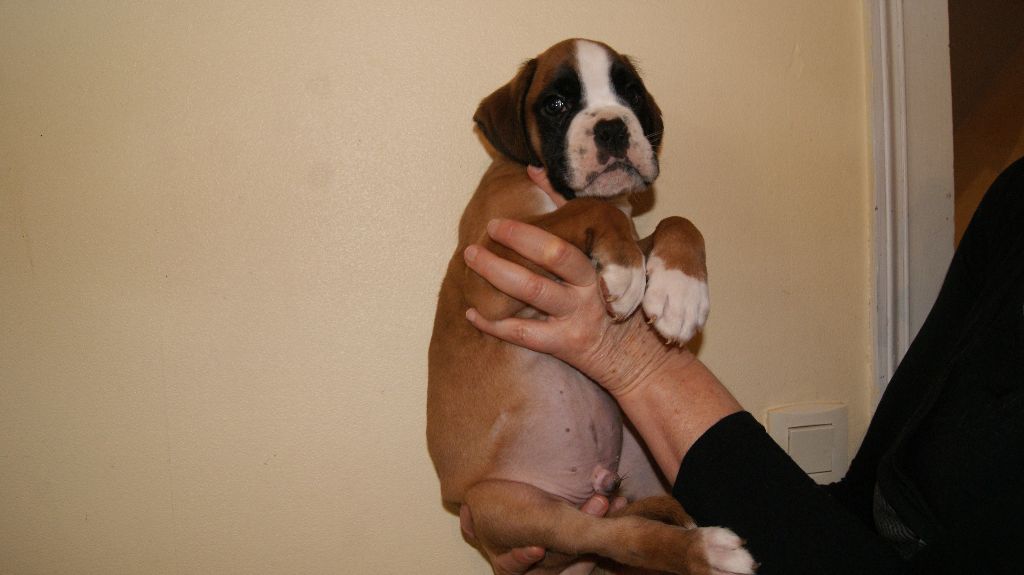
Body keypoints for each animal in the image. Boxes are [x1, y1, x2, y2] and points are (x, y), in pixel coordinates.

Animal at [428, 39, 755, 574]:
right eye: (556, 104)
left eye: (631, 93)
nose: (612, 127)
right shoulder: (487, 265)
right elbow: (593, 208)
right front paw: (625, 272)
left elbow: (677, 221)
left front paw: (680, 291)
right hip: (511, 504)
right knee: (617, 537)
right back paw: (706, 551)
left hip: (639, 456)